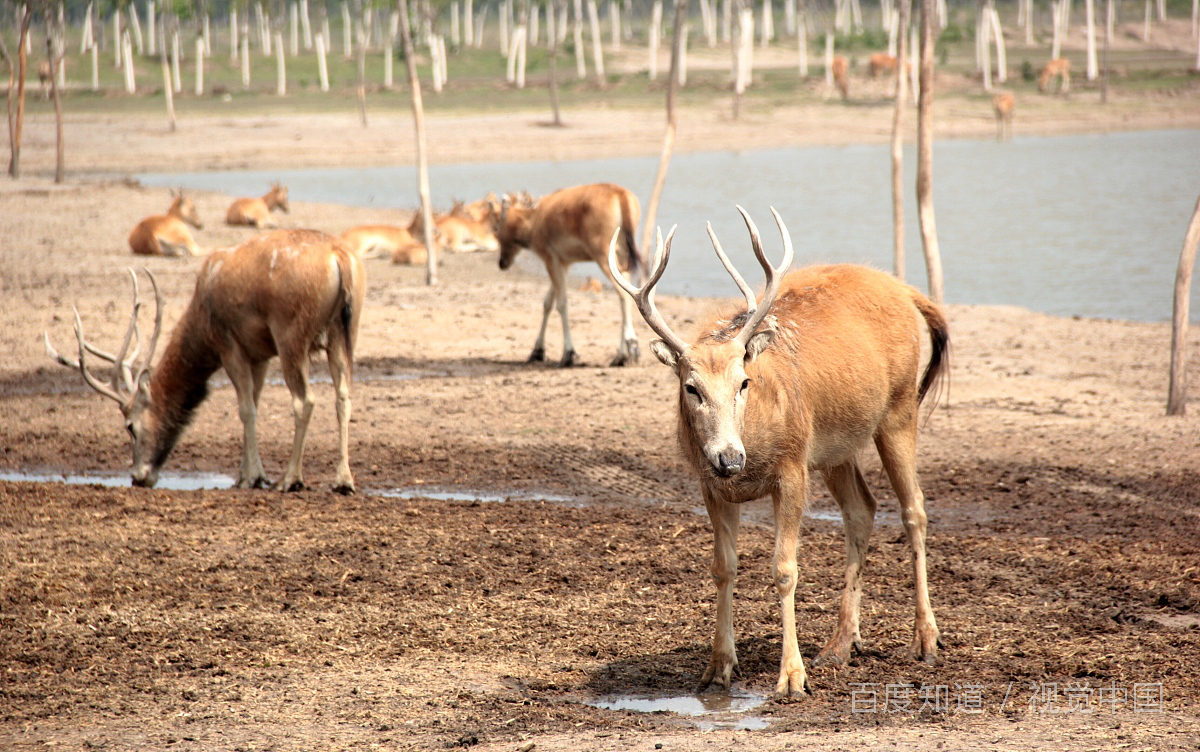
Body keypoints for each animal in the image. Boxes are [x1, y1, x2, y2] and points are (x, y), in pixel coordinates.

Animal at [45, 232, 364, 496]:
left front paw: (252, 477)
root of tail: (340, 257)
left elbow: (246, 410)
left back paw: (290, 479)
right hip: (344, 333)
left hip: (290, 334)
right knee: (343, 397)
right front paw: (247, 475)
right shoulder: (259, 354)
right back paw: (343, 481)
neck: (200, 325)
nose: (138, 477)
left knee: (305, 400)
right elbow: (255, 403)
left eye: (130, 426)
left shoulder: (228, 345)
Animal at [496, 183, 648, 369]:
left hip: (603, 255)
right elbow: (547, 302)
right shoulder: (563, 263)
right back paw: (622, 354)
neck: (534, 220)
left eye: (497, 228)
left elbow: (561, 304)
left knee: (623, 295)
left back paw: (628, 350)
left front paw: (567, 354)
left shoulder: (551, 259)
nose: (502, 262)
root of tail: (620, 193)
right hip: (621, 256)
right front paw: (537, 351)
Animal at [609, 207, 945, 700]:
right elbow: (723, 567)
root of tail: (904, 289)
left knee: (914, 509)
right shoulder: (709, 485)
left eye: (743, 382)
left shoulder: (792, 467)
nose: (730, 458)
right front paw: (718, 668)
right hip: (834, 447)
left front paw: (792, 676)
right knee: (862, 509)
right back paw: (840, 645)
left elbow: (785, 568)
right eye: (691, 388)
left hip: (899, 408)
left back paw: (925, 639)